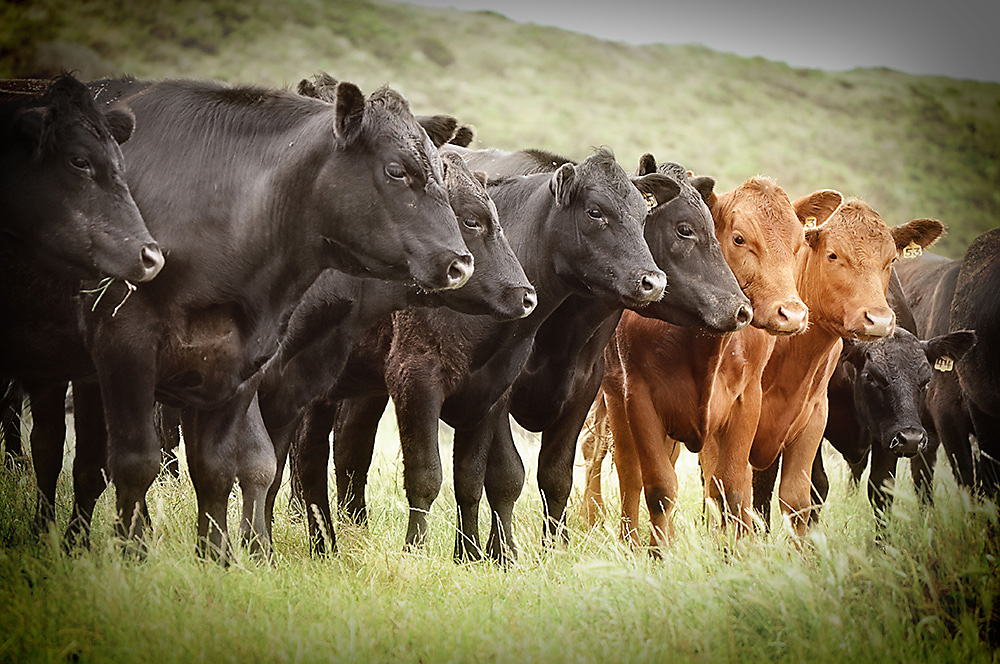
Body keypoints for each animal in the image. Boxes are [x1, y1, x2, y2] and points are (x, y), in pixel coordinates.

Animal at [76, 75, 473, 561]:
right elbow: (158, 461)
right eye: (396, 170)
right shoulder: (126, 346)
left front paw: (244, 552)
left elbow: (252, 465)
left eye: (439, 170)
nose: (460, 263)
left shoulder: (258, 371)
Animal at [596, 177, 838, 549]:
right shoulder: (639, 399)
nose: (792, 314)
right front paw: (658, 555)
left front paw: (737, 553)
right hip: (615, 398)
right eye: (739, 238)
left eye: (797, 244)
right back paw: (631, 543)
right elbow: (659, 489)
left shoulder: (745, 401)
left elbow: (733, 490)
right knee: (630, 476)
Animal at [744, 204, 944, 536]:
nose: (878, 319)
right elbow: (815, 488)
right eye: (833, 255)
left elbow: (881, 490)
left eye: (925, 381)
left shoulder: (888, 430)